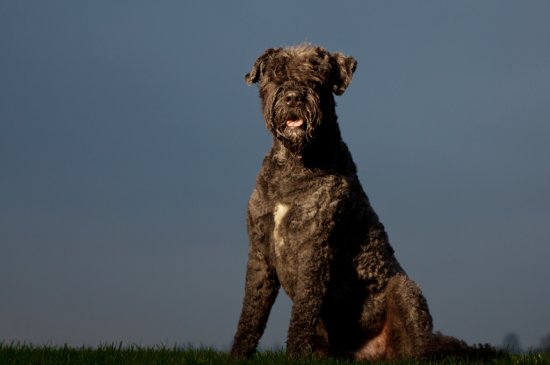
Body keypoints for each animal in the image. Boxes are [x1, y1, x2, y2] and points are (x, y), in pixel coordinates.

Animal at [231, 44, 498, 360]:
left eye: (316, 77)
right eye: (275, 74)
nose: (294, 97)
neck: (295, 165)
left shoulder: (314, 251)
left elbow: (302, 314)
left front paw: (295, 356)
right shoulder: (260, 253)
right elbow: (251, 314)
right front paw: (238, 355)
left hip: (405, 291)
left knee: (418, 348)